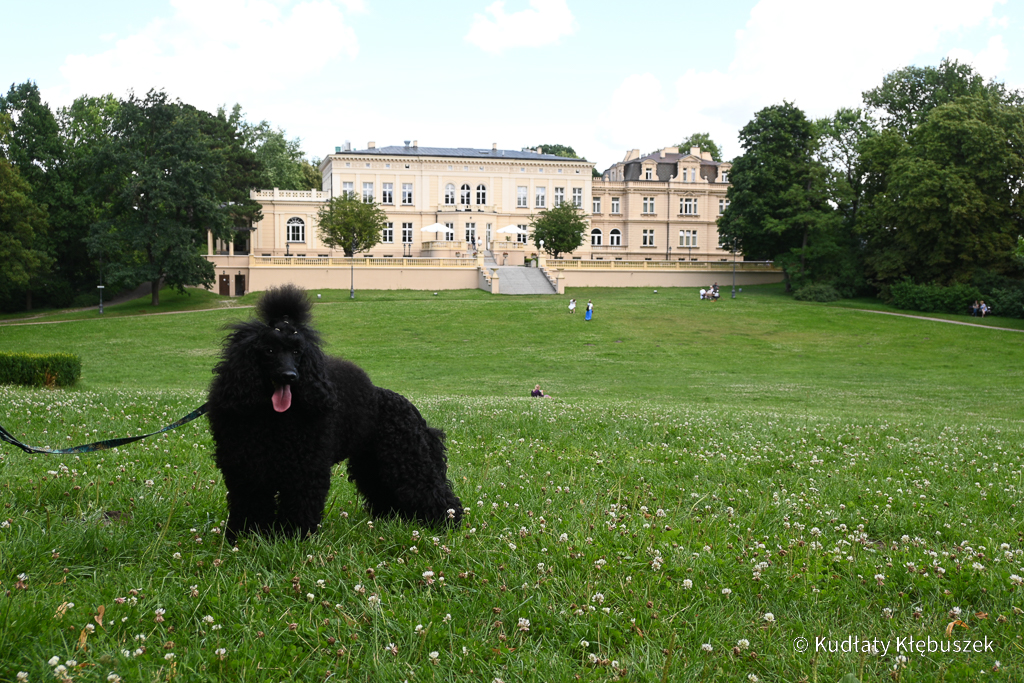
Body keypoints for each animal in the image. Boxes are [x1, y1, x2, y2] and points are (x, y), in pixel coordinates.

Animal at [207, 284, 463, 543]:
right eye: (269, 350)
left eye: (298, 351)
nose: (290, 376)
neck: (274, 418)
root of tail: (414, 412)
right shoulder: (246, 471)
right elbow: (250, 506)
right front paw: (246, 538)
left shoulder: (306, 469)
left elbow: (300, 505)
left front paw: (294, 538)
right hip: (371, 462)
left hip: (406, 456)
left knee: (433, 492)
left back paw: (449, 523)